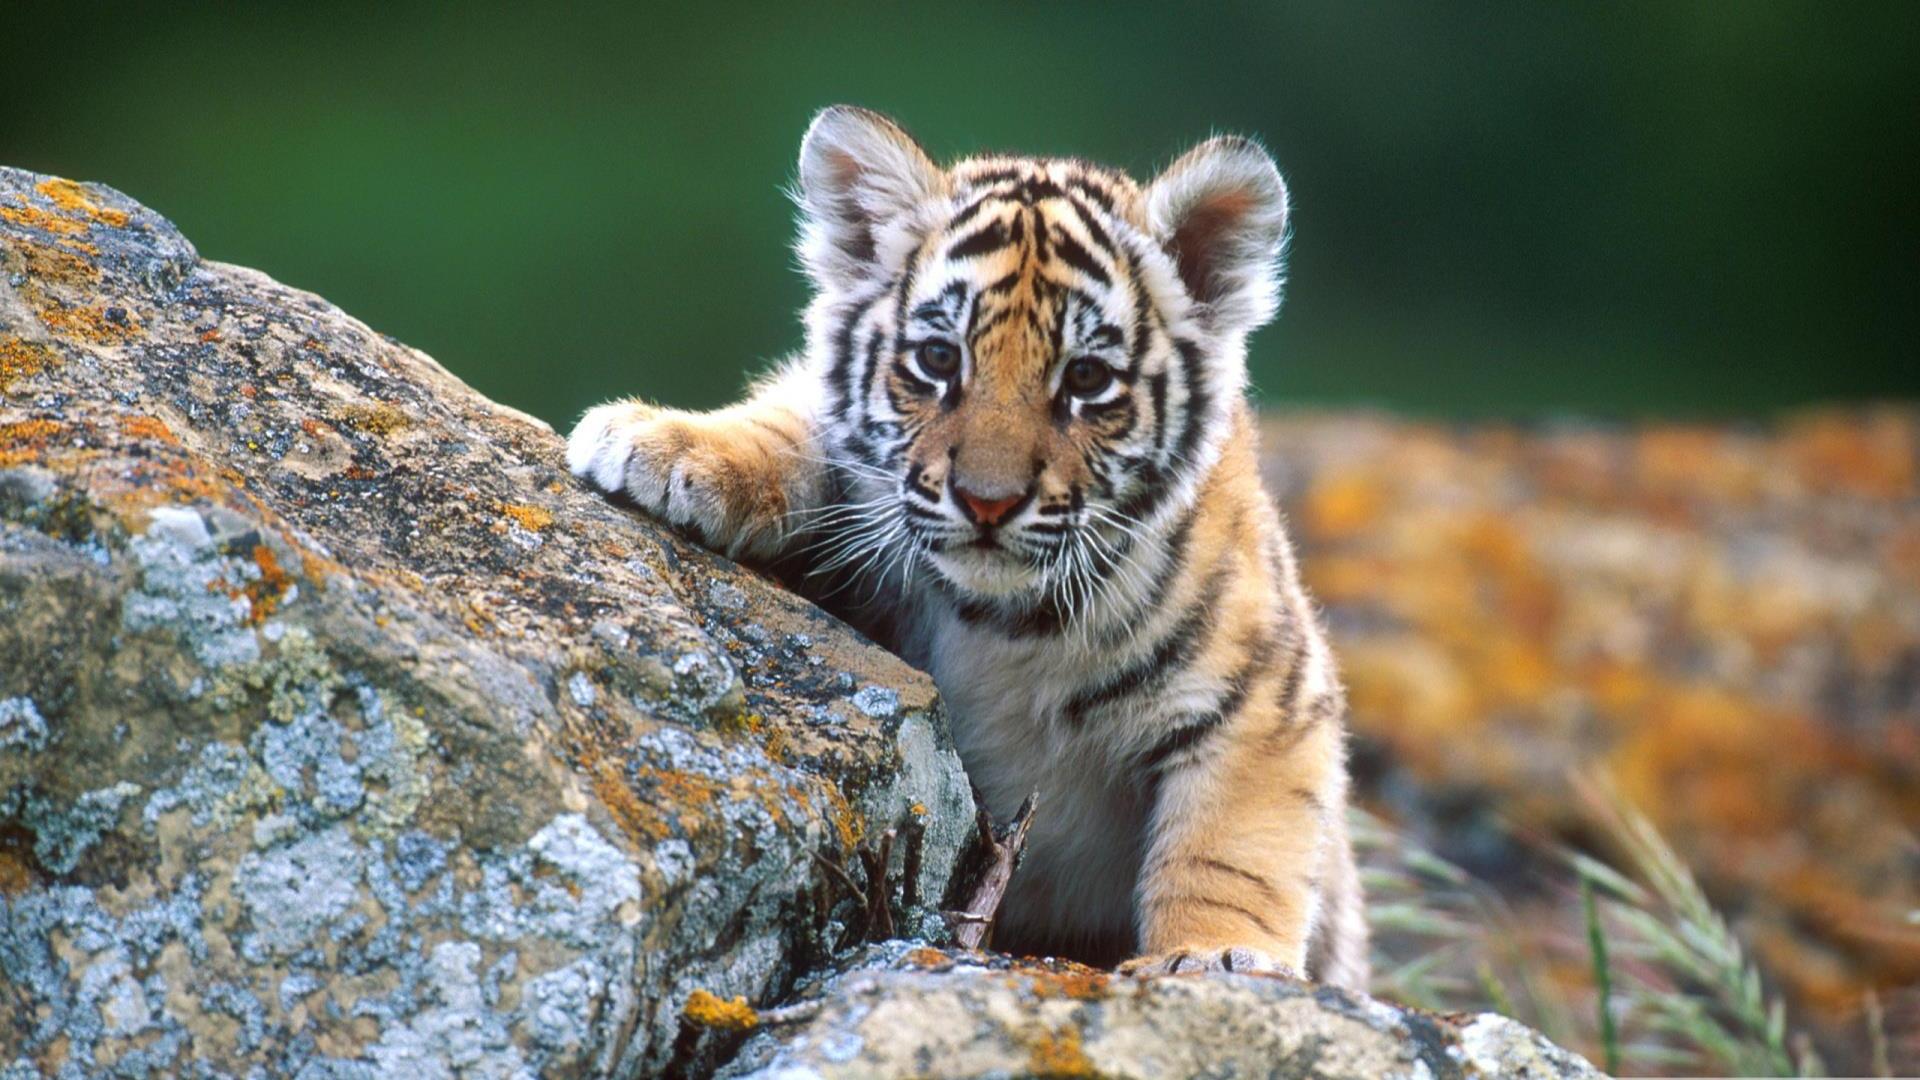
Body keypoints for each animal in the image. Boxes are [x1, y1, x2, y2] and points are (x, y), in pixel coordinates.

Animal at [567, 106, 1368, 988]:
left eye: (1086, 379)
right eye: (938, 358)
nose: (988, 500)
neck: (1004, 623)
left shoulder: (1267, 698)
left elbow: (1230, 850)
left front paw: (1214, 957)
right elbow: (795, 421)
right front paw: (663, 443)